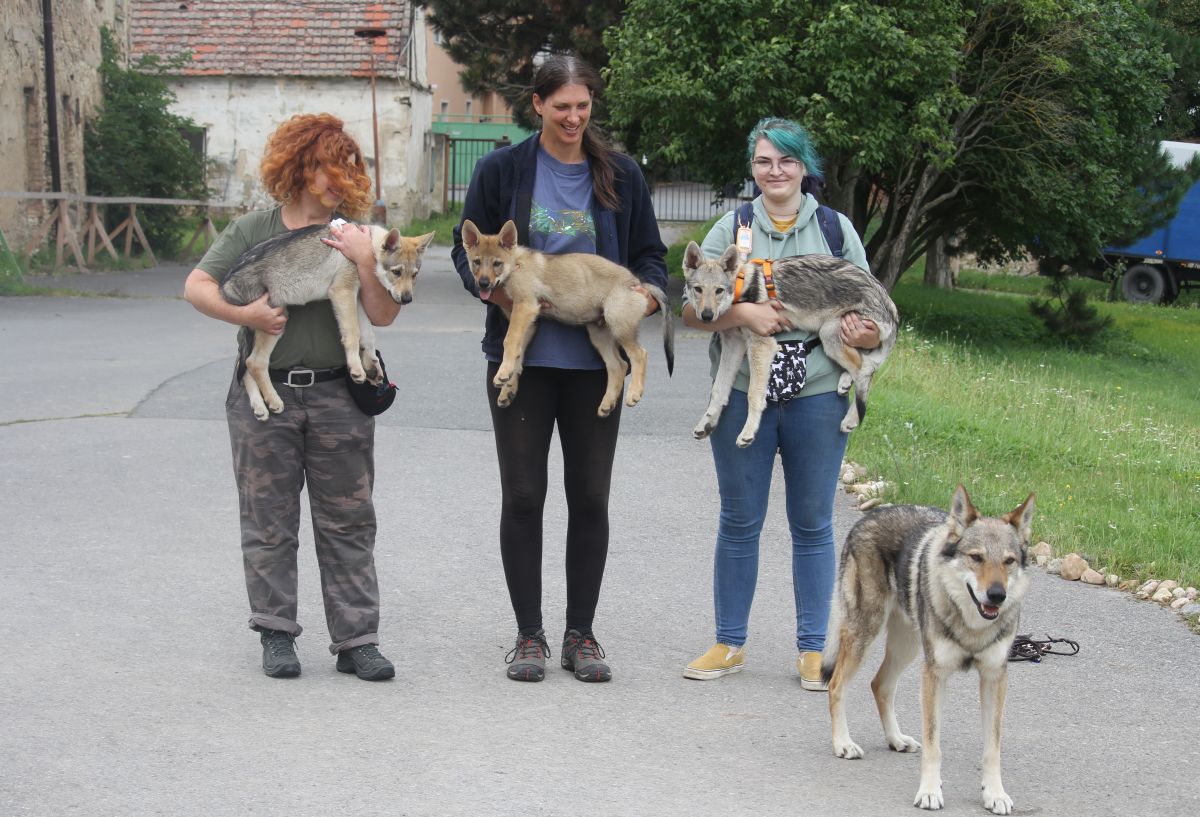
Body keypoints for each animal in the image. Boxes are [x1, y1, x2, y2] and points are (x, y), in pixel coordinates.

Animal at [220, 221, 436, 419]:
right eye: (396, 272)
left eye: (414, 275)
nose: (407, 299)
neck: (366, 248)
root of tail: (226, 283)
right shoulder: (343, 292)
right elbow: (353, 334)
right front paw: (356, 368)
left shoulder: (357, 298)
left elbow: (367, 336)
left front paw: (371, 364)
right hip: (276, 322)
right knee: (254, 362)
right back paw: (274, 401)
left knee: (243, 365)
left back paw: (260, 407)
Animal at [456, 217, 672, 415]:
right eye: (476, 262)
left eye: (497, 264)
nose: (483, 284)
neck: (515, 264)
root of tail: (637, 282)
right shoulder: (529, 322)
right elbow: (518, 354)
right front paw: (508, 387)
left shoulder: (525, 307)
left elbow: (509, 341)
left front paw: (502, 374)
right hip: (599, 334)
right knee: (619, 365)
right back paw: (607, 403)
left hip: (618, 325)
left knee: (639, 355)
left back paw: (634, 393)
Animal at [681, 242, 897, 446]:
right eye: (698, 289)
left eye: (718, 290)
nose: (707, 315)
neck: (743, 286)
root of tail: (890, 303)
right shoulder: (734, 344)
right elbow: (719, 390)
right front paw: (706, 423)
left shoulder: (762, 345)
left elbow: (754, 395)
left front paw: (748, 433)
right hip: (833, 338)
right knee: (864, 366)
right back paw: (845, 382)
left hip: (829, 335)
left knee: (865, 372)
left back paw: (851, 419)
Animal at [820, 482, 1036, 811]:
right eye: (976, 557)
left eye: (1008, 561)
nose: (997, 595)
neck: (972, 626)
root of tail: (868, 517)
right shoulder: (935, 674)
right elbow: (934, 746)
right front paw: (930, 792)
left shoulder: (994, 677)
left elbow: (992, 748)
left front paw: (995, 795)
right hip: (866, 635)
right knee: (836, 685)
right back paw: (843, 744)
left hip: (907, 647)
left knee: (879, 684)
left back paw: (896, 739)